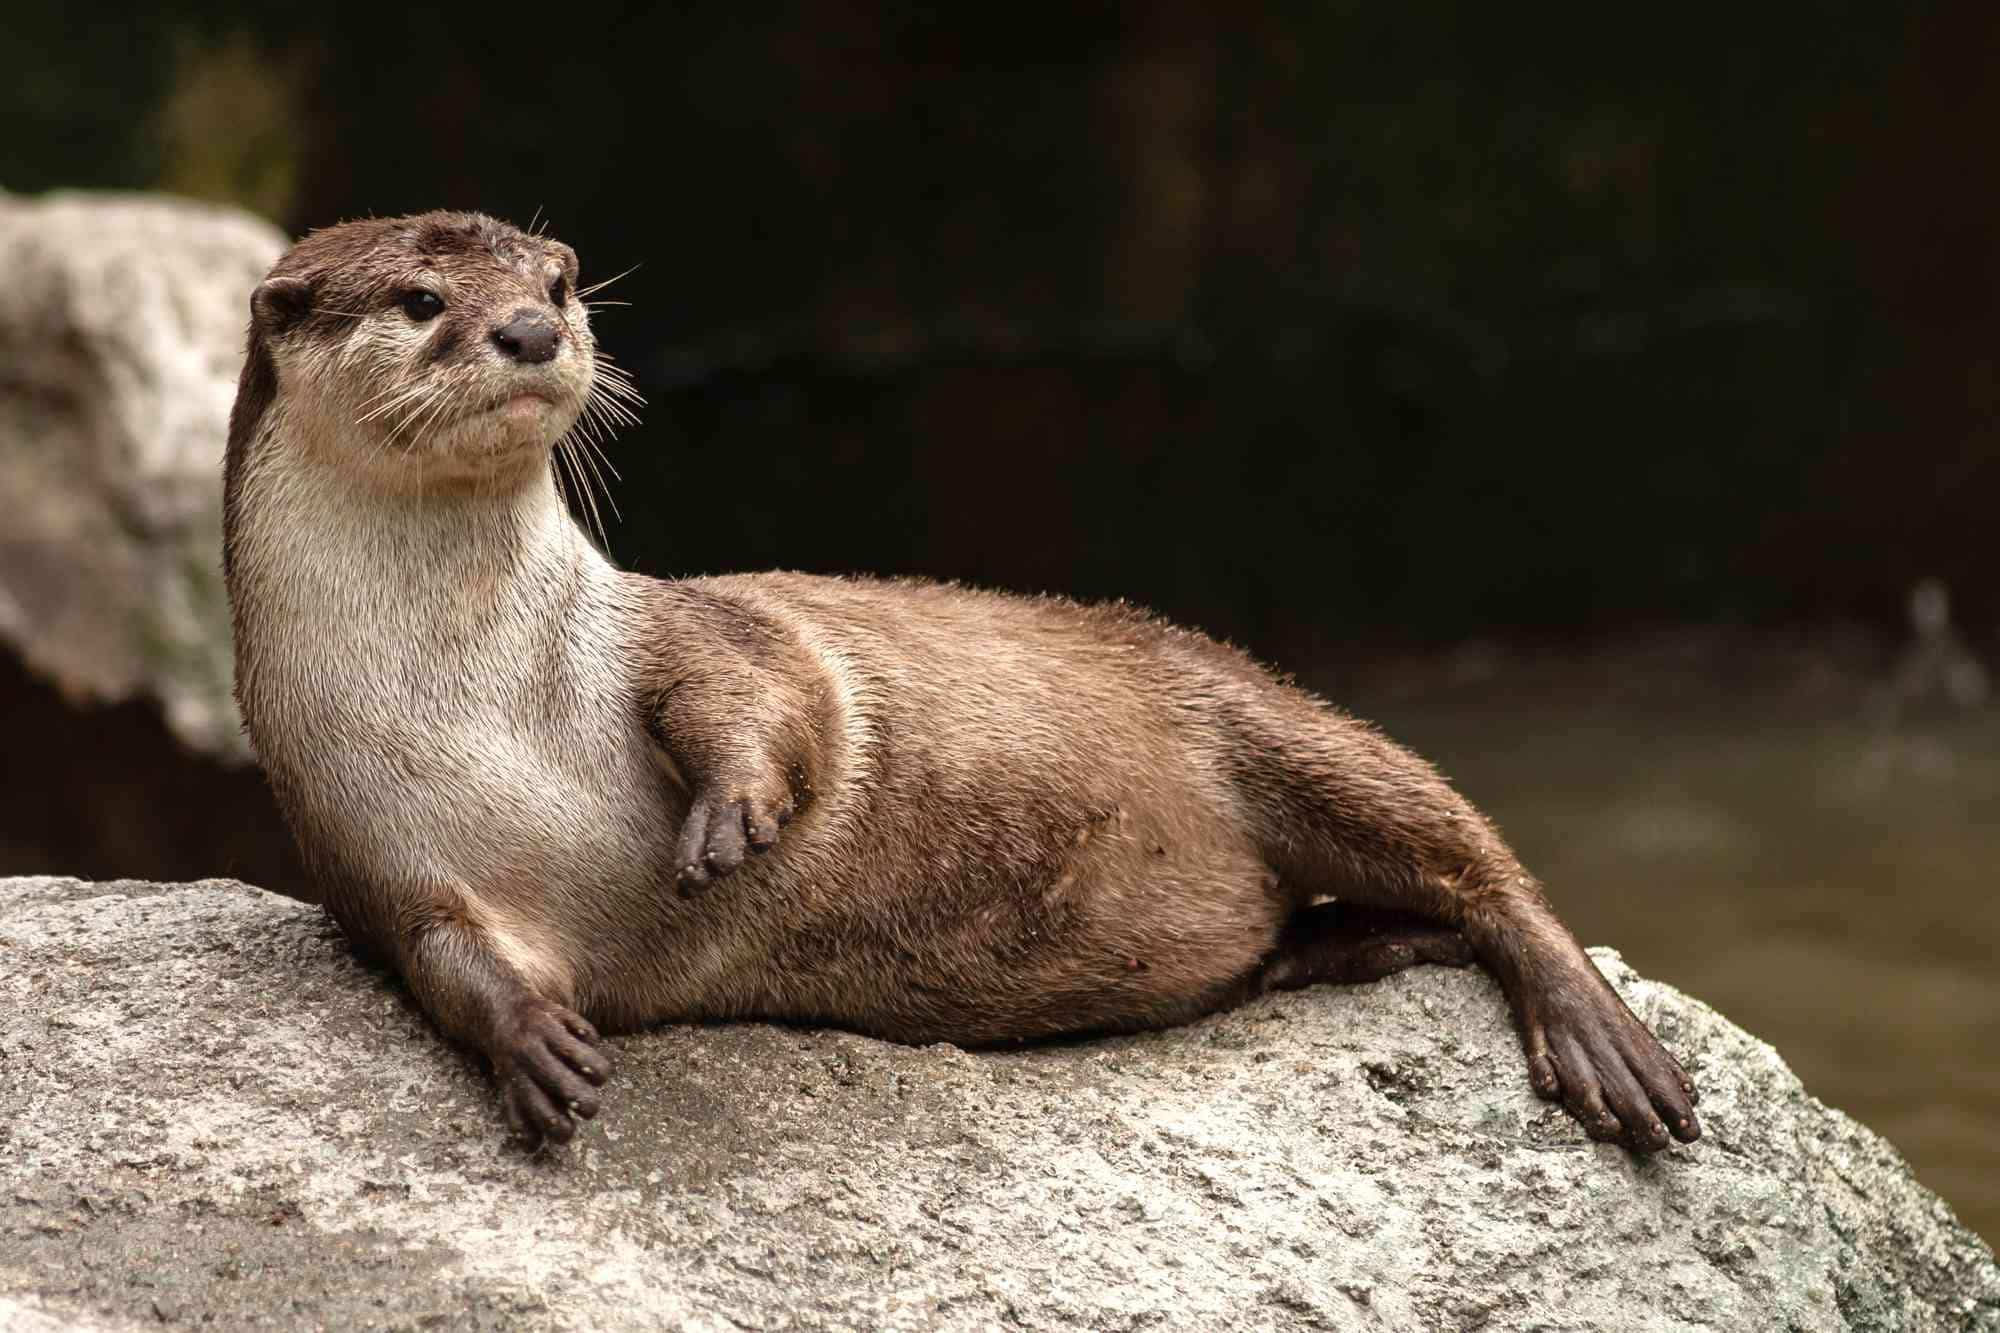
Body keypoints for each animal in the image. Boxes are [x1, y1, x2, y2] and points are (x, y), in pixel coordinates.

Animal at [223, 211, 1700, 1154]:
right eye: (423, 302)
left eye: (564, 279)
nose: (530, 329)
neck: (485, 695)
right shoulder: (359, 832)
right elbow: (440, 954)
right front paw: (536, 1048)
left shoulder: (682, 628)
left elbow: (773, 690)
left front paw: (731, 816)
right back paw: (1363, 947)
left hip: (1250, 709)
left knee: (1466, 846)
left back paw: (1597, 1035)